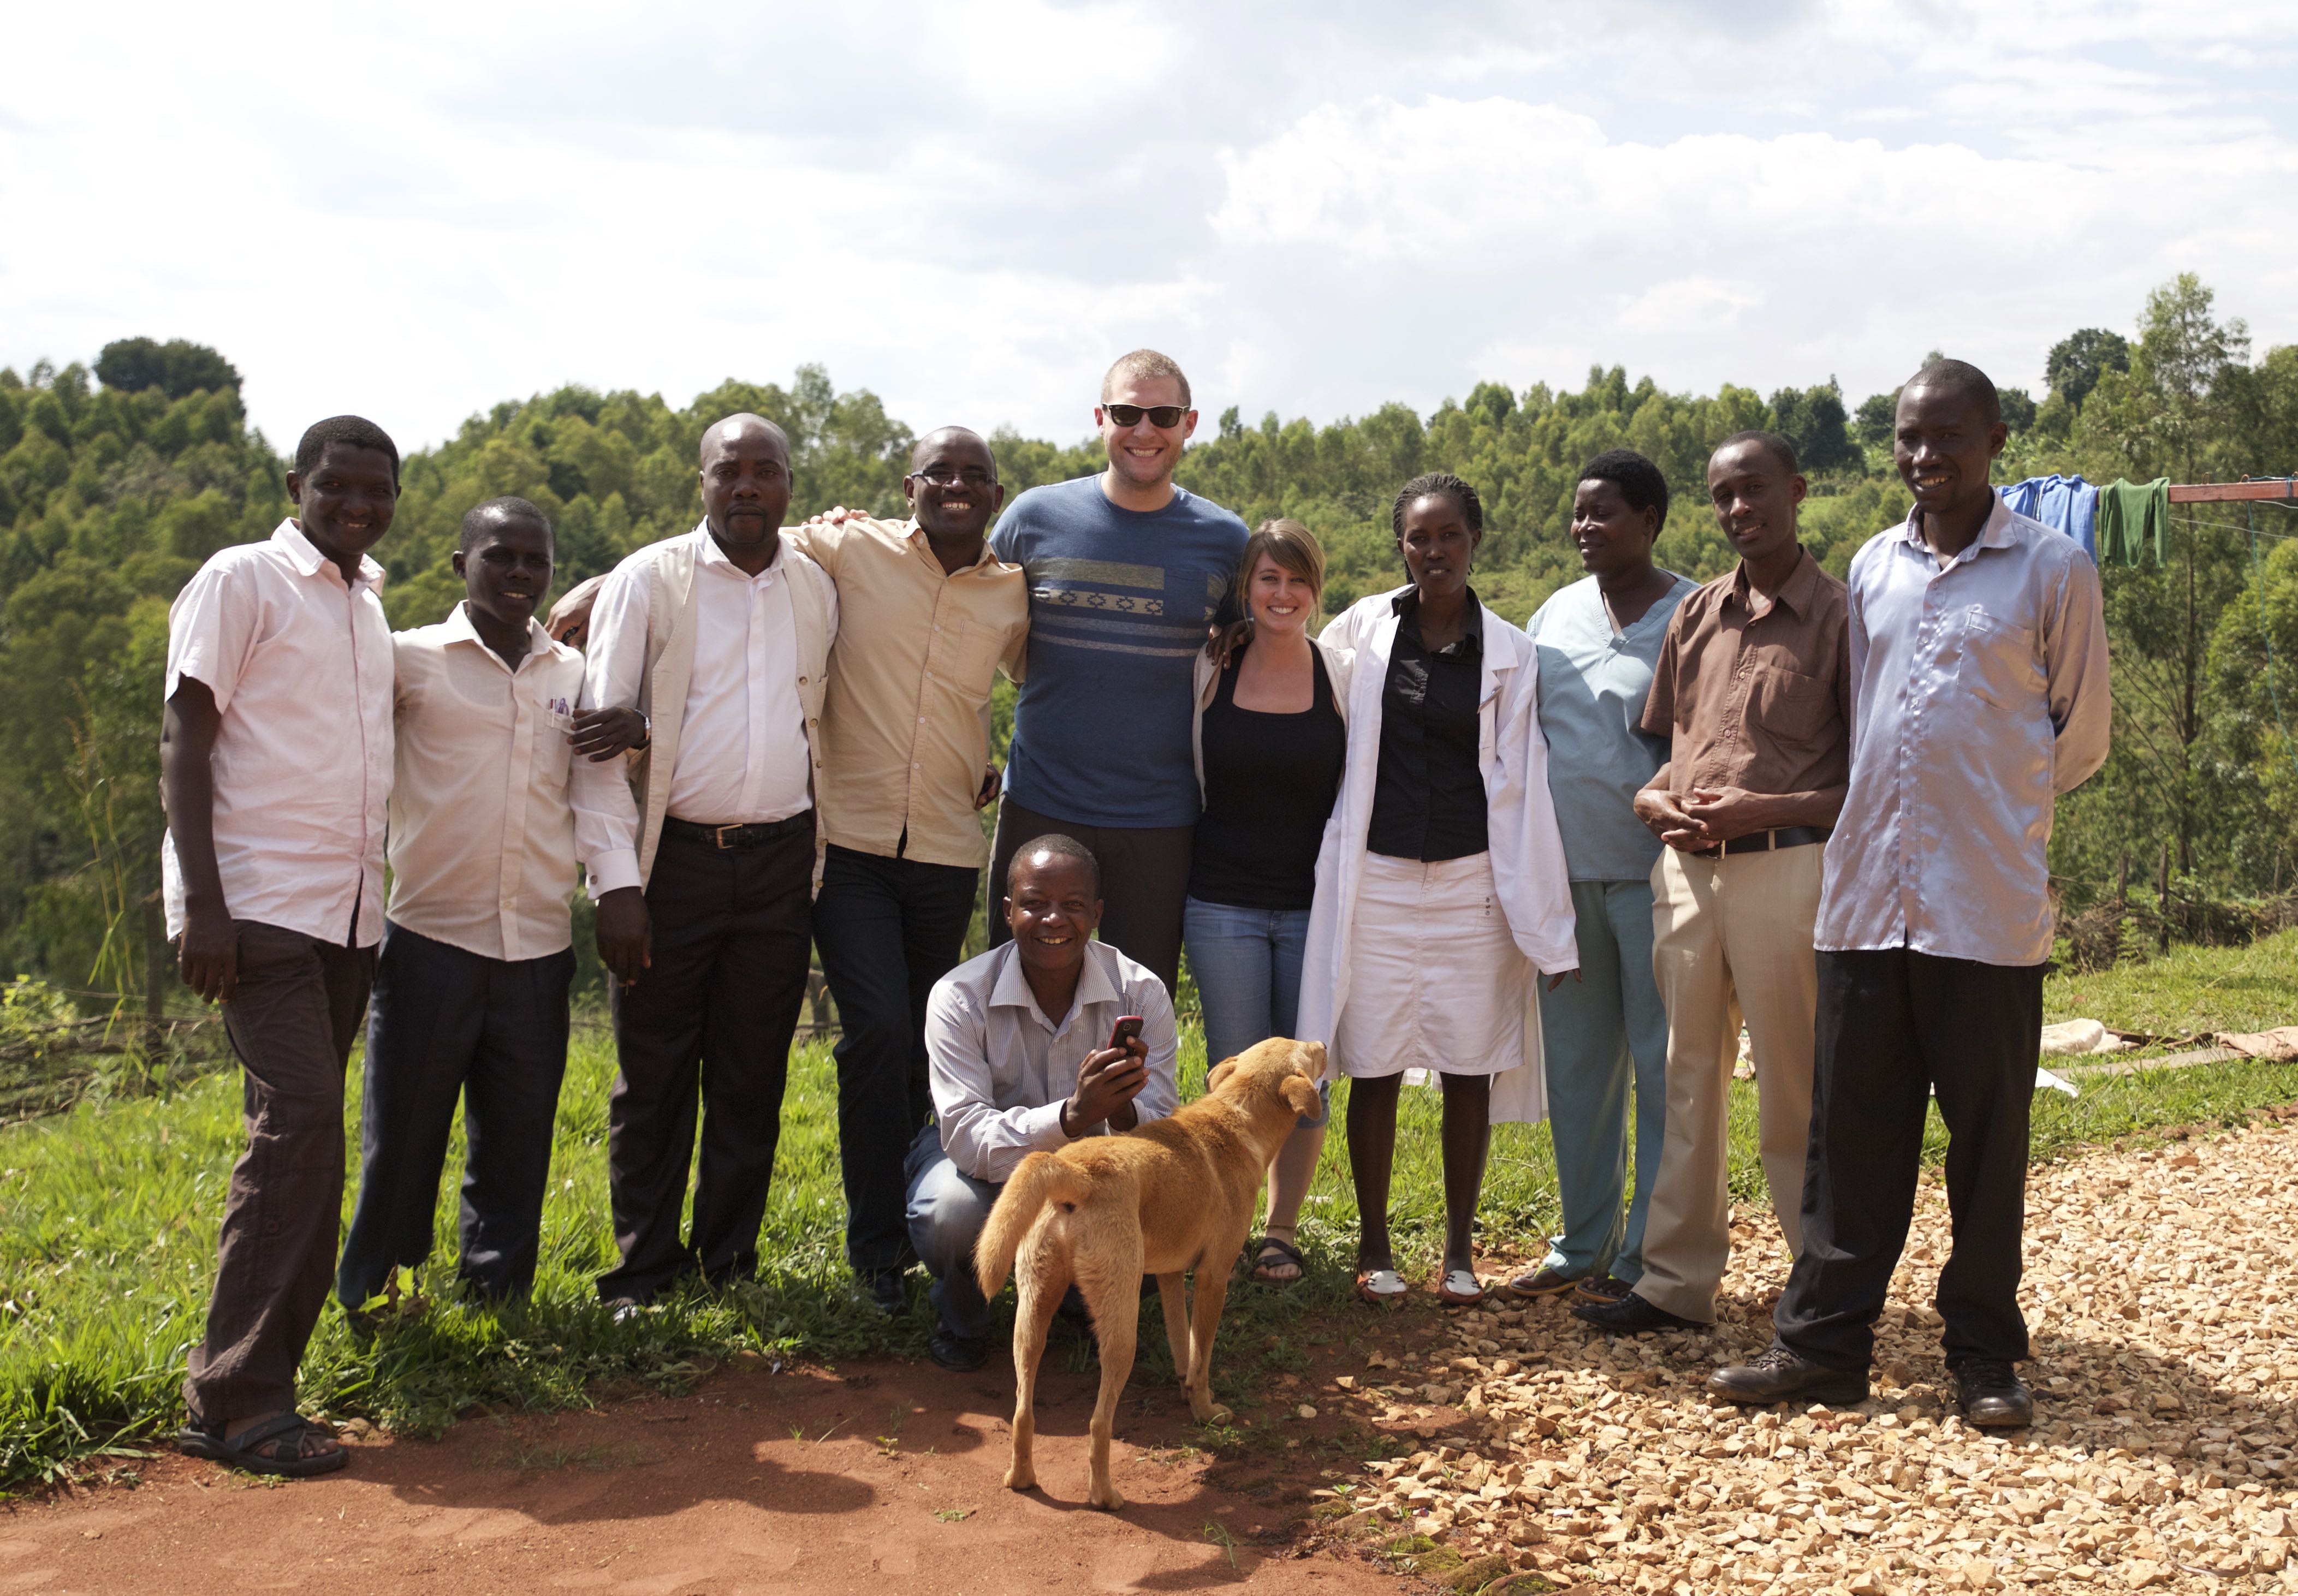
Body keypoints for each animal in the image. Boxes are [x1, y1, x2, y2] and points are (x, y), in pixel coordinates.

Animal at [972, 1035, 1329, 1510]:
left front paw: (1185, 1392)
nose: (1322, 1041)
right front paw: (1206, 1411)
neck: (1237, 1119)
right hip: (1120, 1325)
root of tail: (1075, 1172)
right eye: (1308, 1052)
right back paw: (1104, 1496)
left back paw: (1021, 1478)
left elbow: (1183, 1347)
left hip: (1031, 1318)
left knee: (1022, 1412)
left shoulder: (1170, 1275)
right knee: (1098, 1424)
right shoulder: (1214, 1276)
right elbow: (1202, 1355)